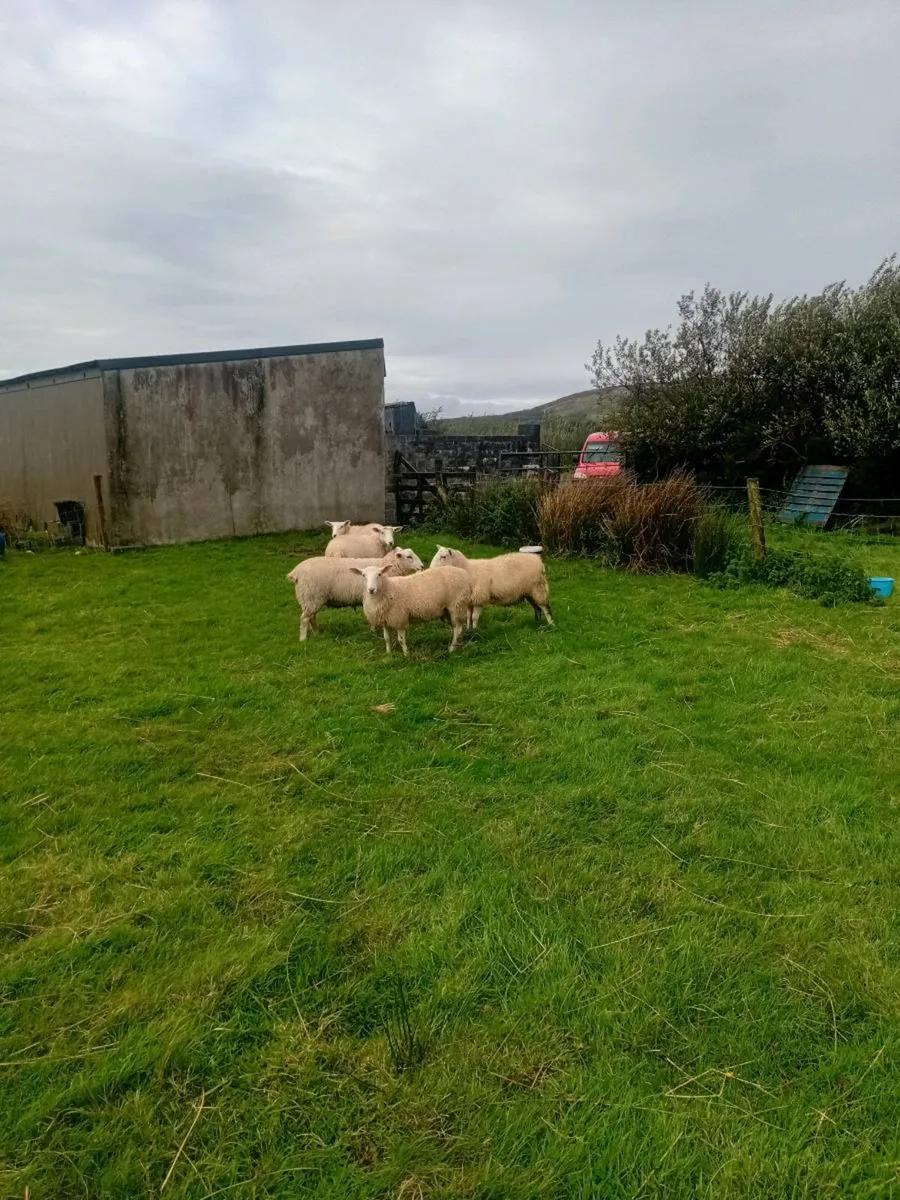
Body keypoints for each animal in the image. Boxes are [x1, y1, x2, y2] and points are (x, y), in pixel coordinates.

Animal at [287, 548, 423, 641]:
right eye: (409, 557)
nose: (422, 566)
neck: (388, 566)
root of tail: (295, 572)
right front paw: (374, 630)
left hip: (310, 598)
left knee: (311, 617)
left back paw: (316, 633)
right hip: (311, 595)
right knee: (304, 619)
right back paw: (303, 639)